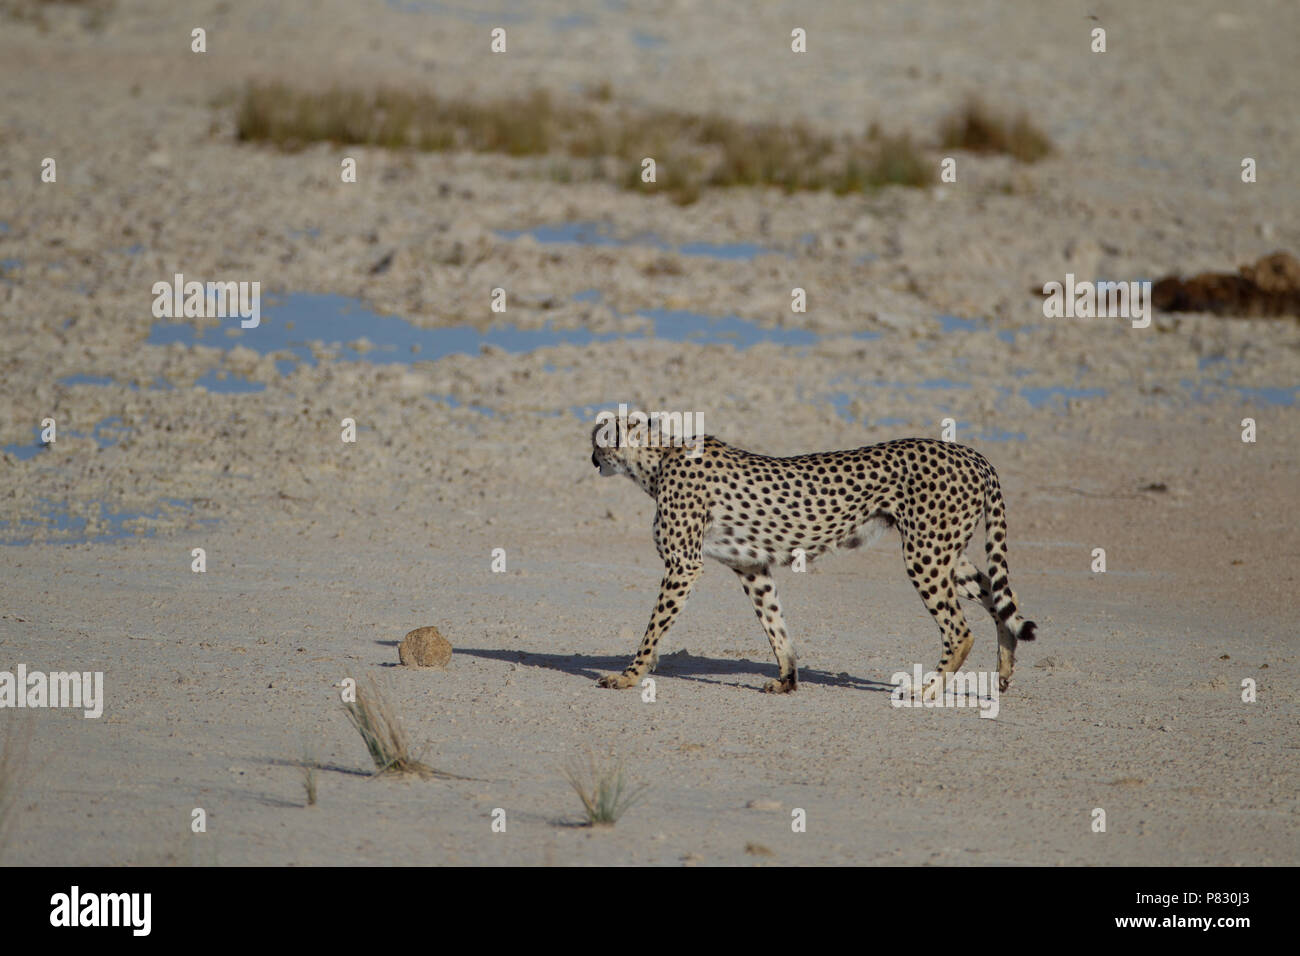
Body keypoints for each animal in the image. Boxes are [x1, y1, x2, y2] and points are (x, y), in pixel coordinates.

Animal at [590, 421, 1034, 697]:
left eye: (599, 440)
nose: (593, 460)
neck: (659, 458)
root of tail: (970, 453)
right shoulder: (752, 566)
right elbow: (774, 624)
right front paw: (787, 680)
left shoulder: (683, 564)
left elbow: (653, 629)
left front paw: (628, 676)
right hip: (945, 553)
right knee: (1001, 600)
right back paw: (1003, 674)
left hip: (926, 554)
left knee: (960, 630)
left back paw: (925, 690)